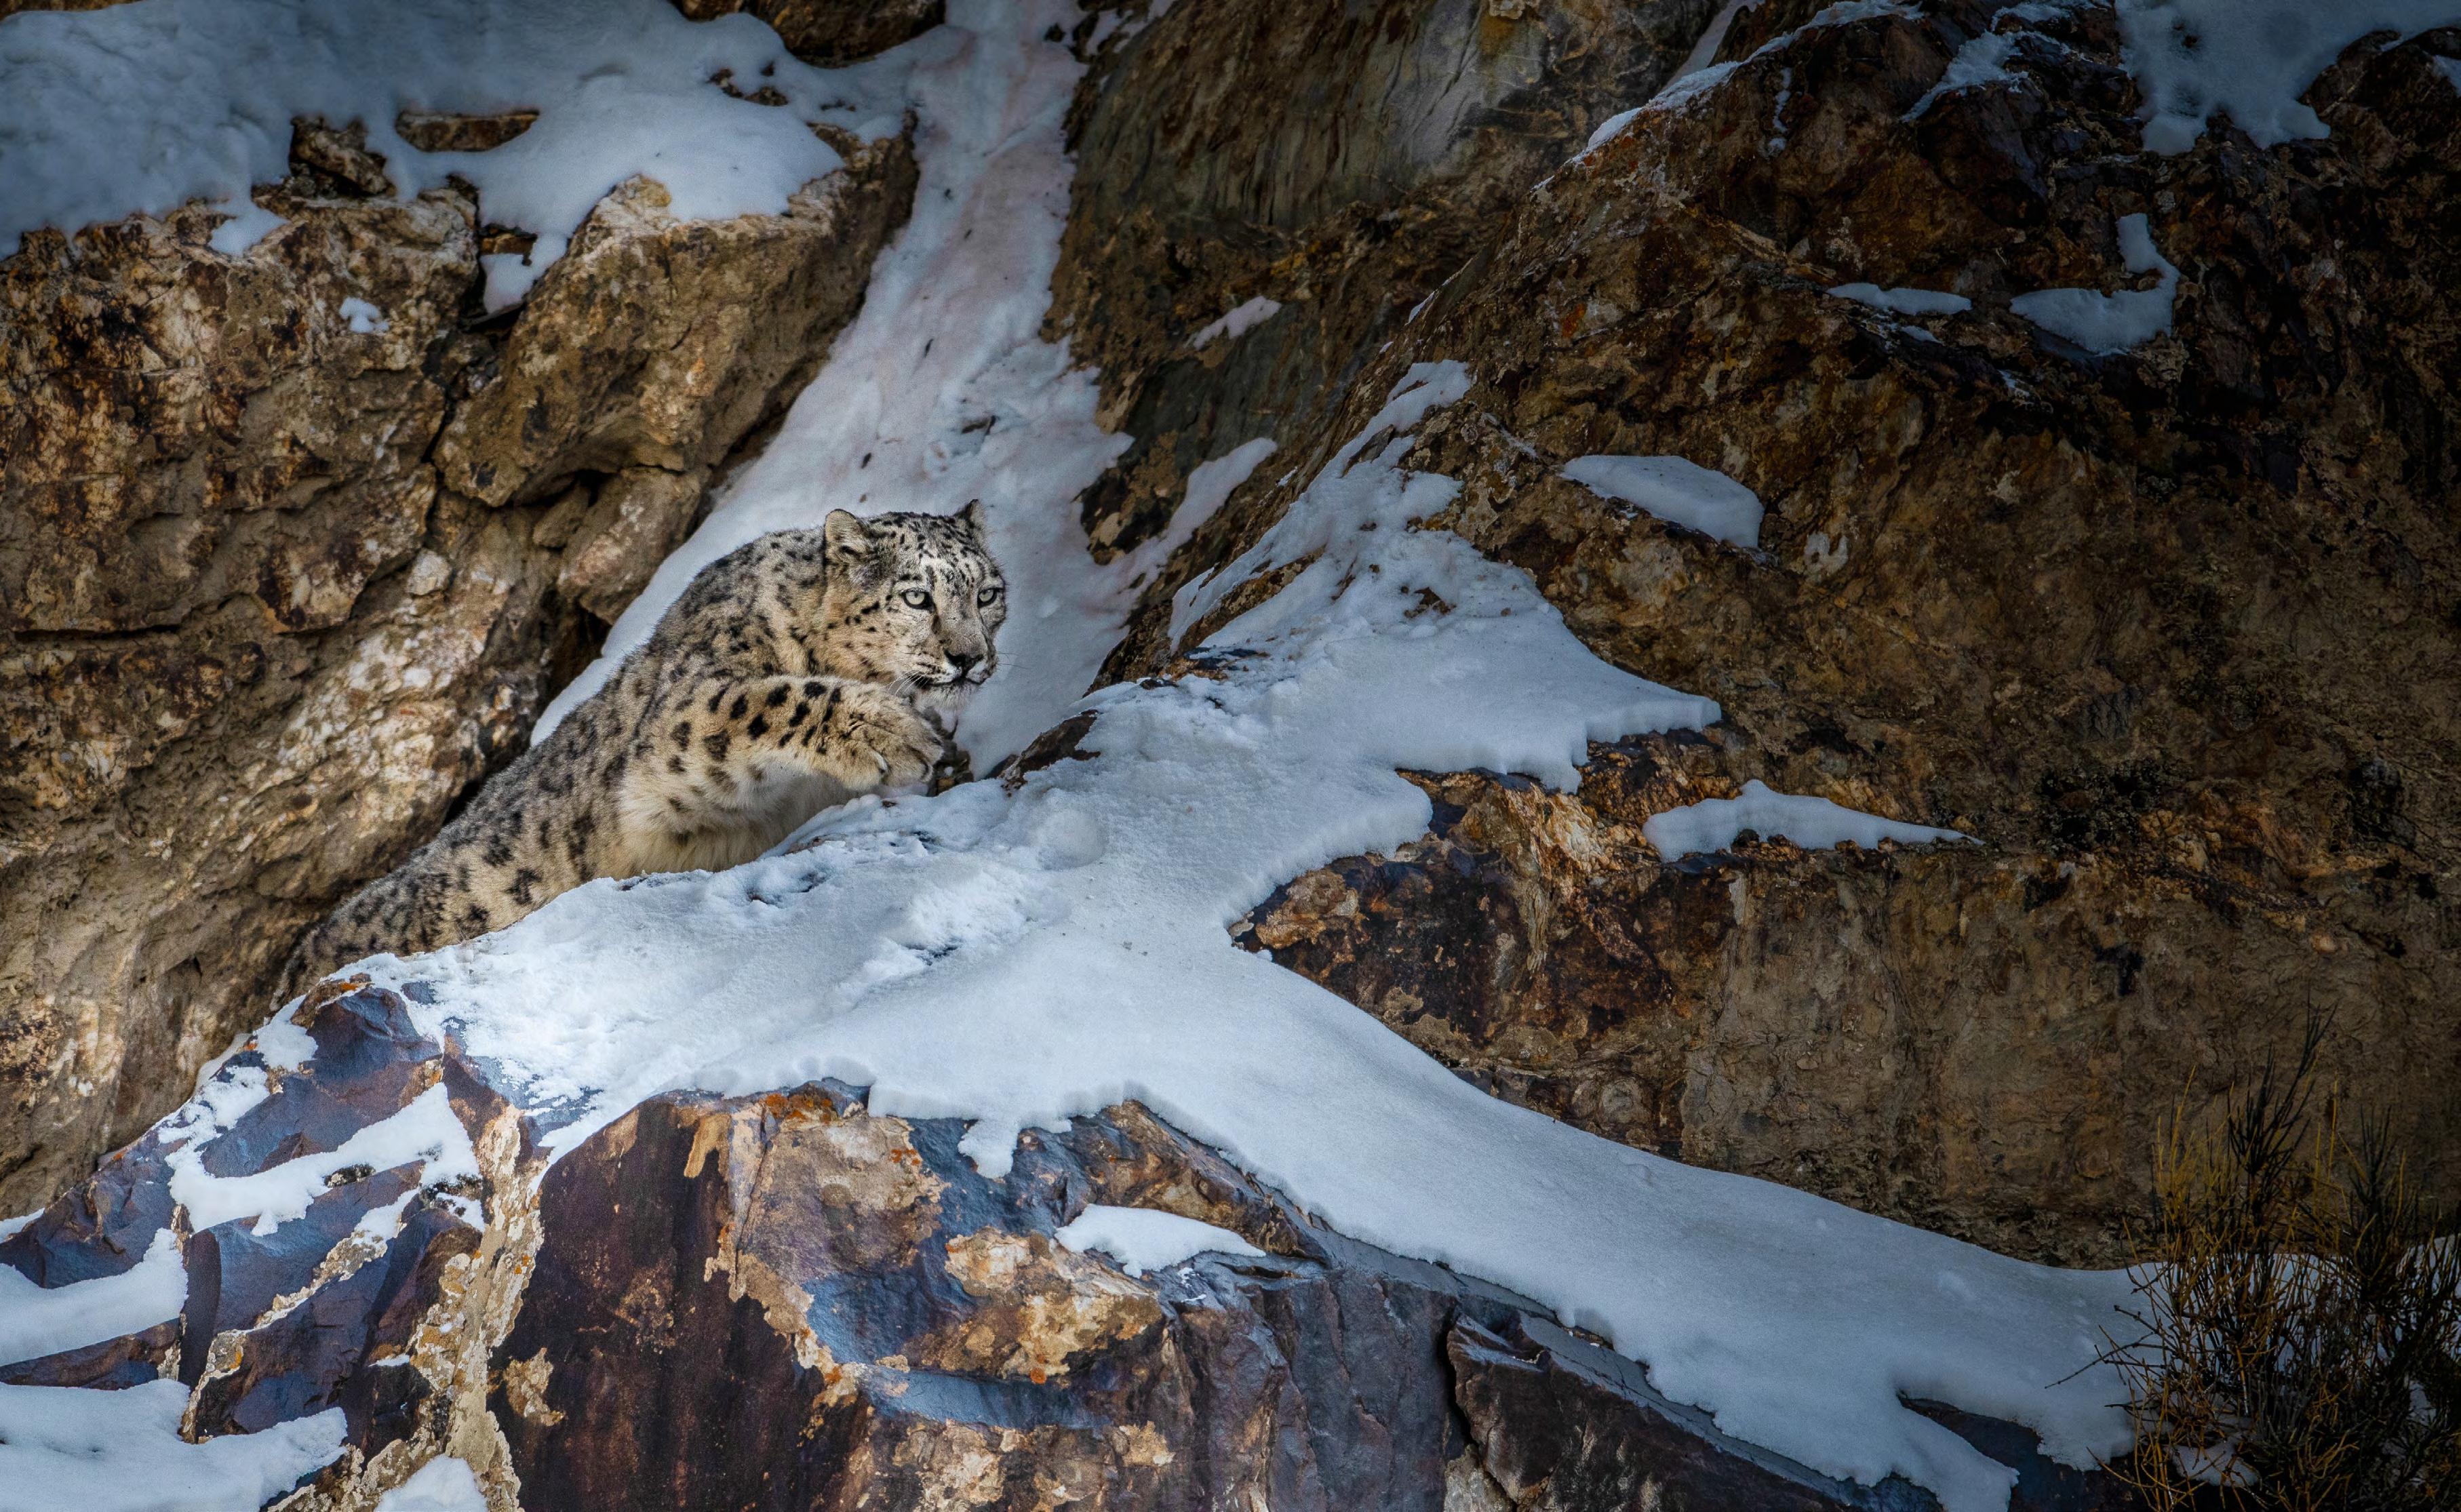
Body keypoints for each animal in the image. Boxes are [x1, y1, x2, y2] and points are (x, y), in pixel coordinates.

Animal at [284, 504, 1005, 990]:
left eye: (988, 593)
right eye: (917, 596)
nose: (970, 657)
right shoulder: (684, 721)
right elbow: (773, 698)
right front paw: (893, 733)